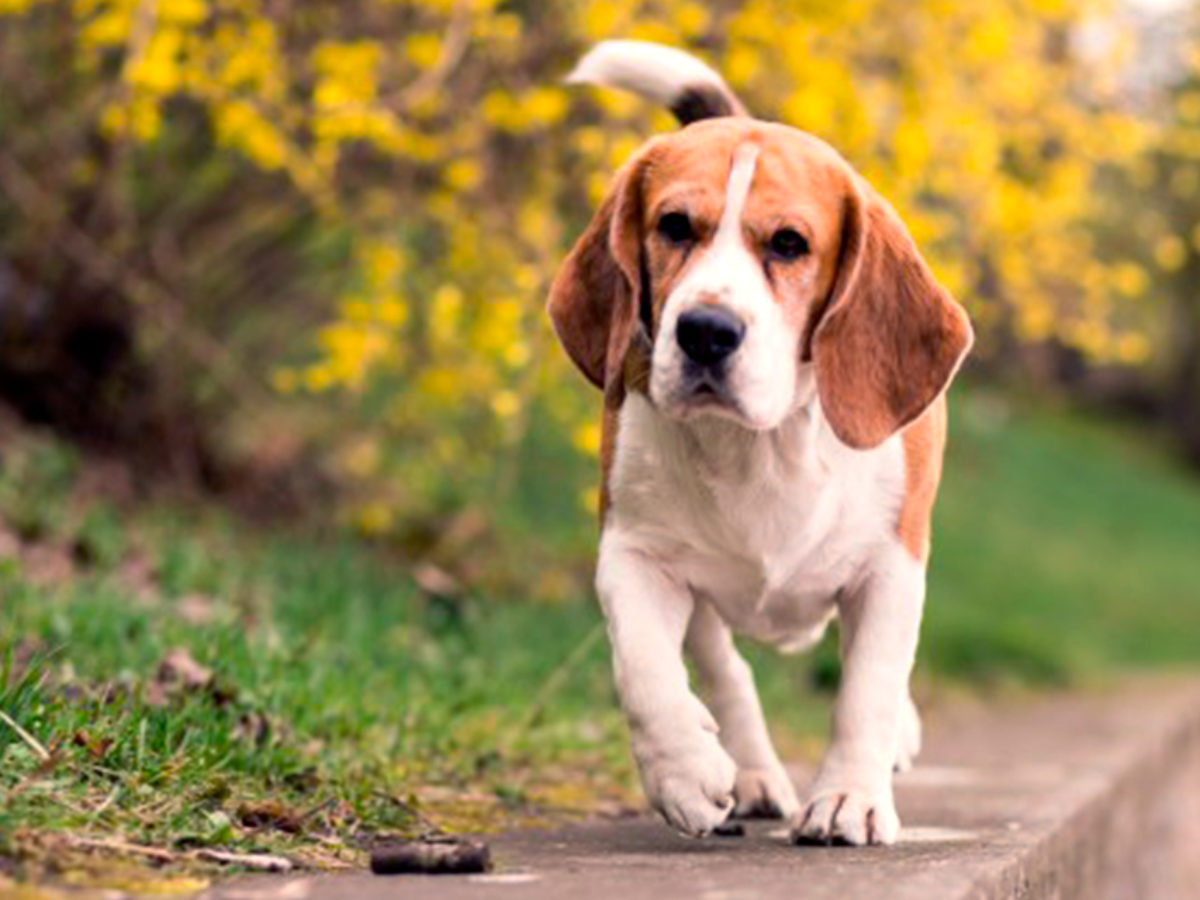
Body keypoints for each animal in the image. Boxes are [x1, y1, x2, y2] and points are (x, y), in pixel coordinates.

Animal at [547, 40, 974, 844]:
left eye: (789, 244)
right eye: (674, 226)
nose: (706, 331)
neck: (763, 445)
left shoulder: (892, 565)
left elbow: (868, 688)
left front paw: (849, 797)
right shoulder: (633, 551)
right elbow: (645, 671)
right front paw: (683, 773)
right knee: (722, 664)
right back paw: (745, 772)